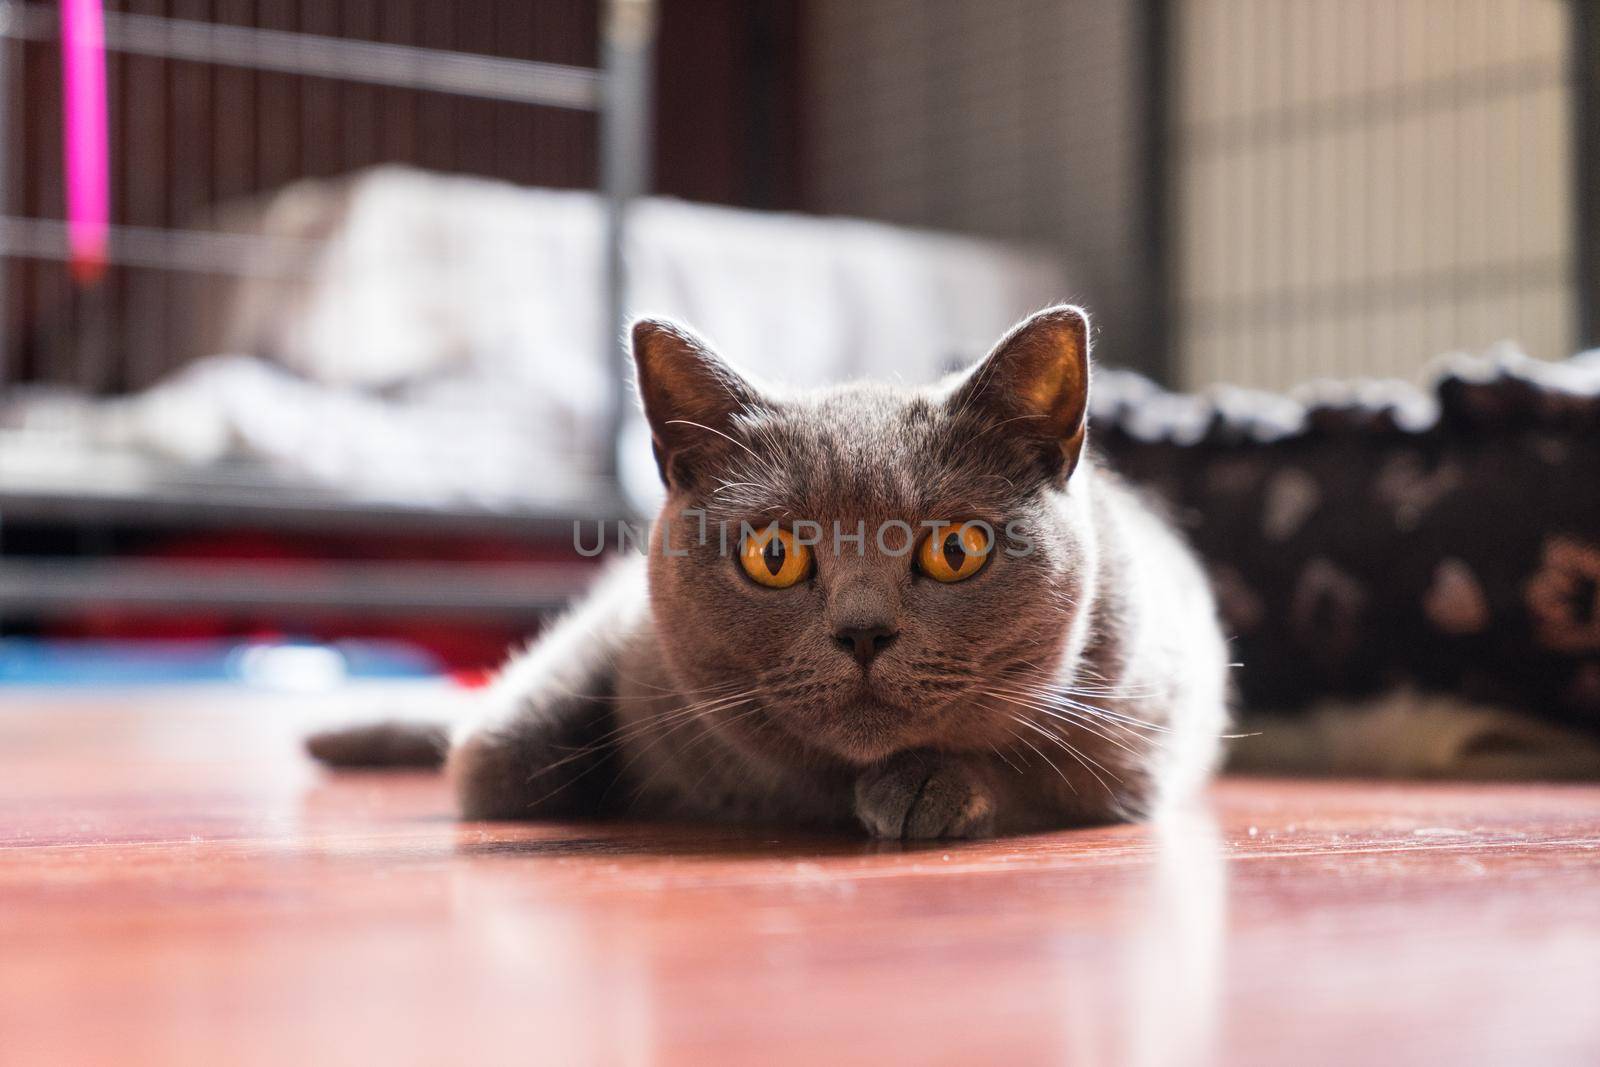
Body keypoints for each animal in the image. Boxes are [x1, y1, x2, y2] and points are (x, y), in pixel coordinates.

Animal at [308, 303, 1222, 838]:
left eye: (956, 549)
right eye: (774, 555)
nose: (863, 632)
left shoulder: (1143, 731)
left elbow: (1044, 766)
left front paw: (926, 786)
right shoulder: (620, 631)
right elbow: (498, 755)